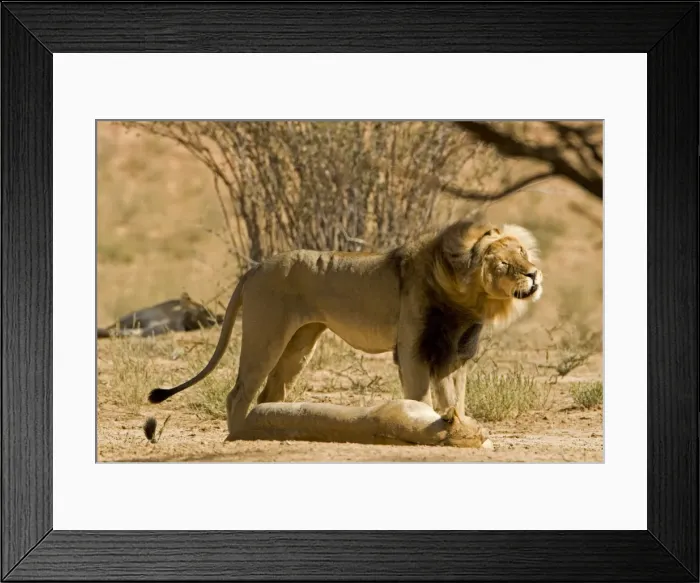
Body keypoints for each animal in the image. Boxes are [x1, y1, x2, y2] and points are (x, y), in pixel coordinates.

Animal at [147, 219, 543, 440]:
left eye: (523, 252)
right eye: (505, 264)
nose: (534, 273)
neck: (467, 298)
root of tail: (256, 267)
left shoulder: (453, 354)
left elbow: (454, 399)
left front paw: (457, 426)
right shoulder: (413, 350)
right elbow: (420, 398)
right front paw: (428, 429)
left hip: (300, 343)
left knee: (269, 392)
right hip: (267, 334)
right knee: (239, 393)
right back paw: (243, 434)